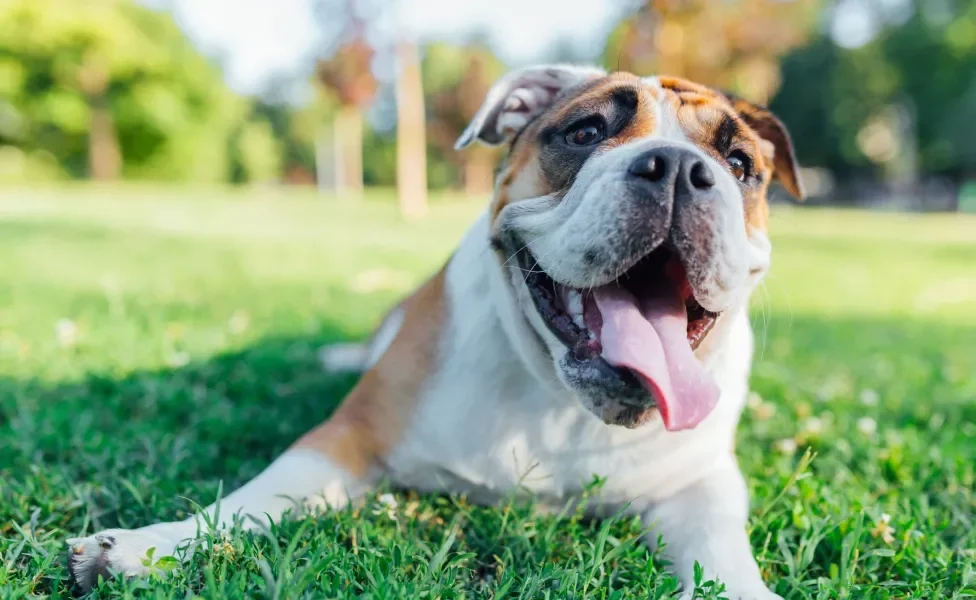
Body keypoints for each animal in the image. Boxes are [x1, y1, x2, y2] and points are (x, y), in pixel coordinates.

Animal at [66, 63, 800, 596]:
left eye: (741, 166)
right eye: (586, 132)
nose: (677, 166)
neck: (557, 400)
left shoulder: (699, 483)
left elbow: (721, 550)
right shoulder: (345, 440)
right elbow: (254, 498)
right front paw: (150, 544)